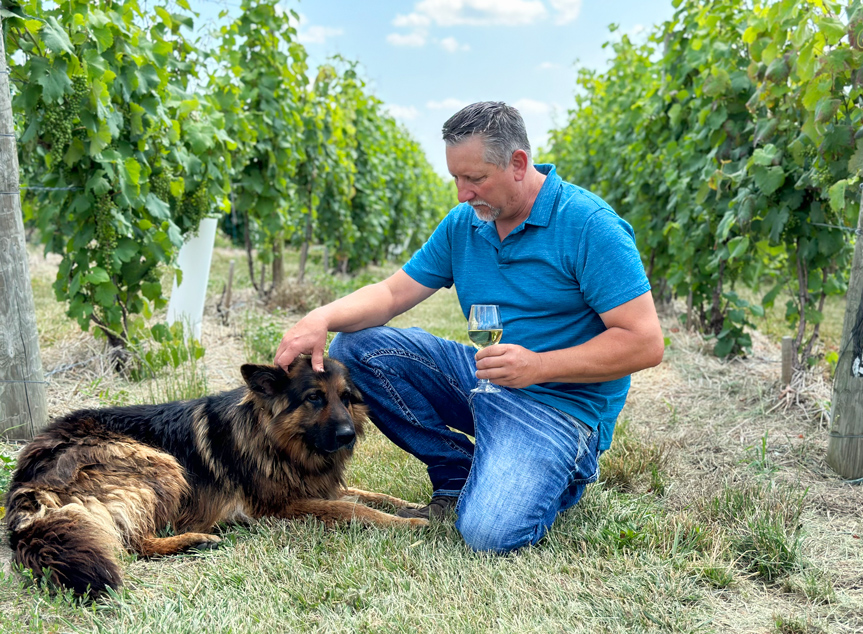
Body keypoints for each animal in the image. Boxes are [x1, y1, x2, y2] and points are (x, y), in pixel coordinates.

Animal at [3, 358, 426, 596]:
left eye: (346, 397)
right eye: (314, 398)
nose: (347, 436)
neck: (275, 440)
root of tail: (28, 471)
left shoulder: (321, 487)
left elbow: (373, 496)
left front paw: (415, 507)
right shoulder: (282, 505)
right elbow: (355, 511)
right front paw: (412, 523)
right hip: (160, 463)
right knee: (135, 543)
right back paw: (196, 540)